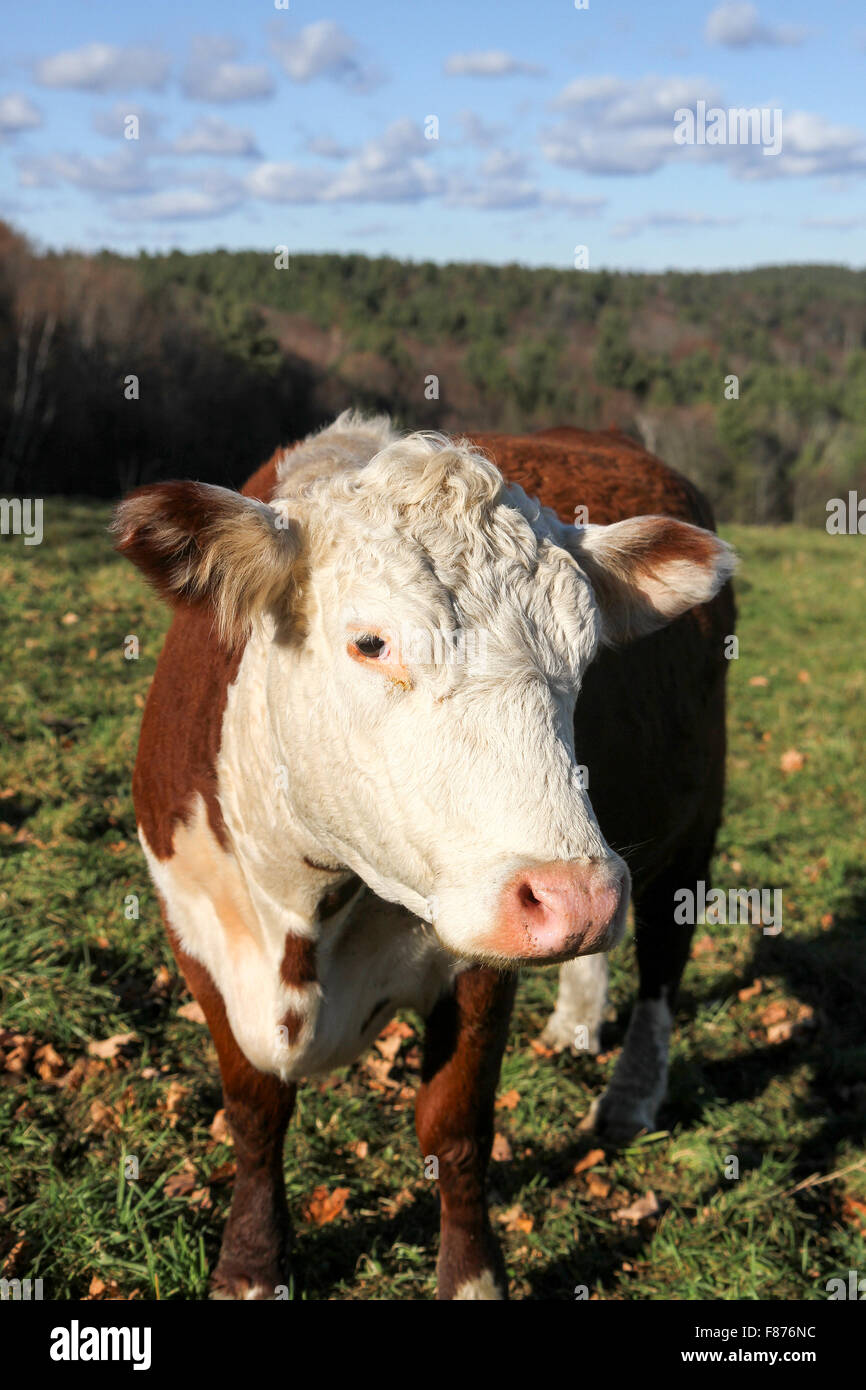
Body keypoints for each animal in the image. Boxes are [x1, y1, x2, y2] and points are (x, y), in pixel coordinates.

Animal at [113, 411, 739, 1301]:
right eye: (372, 642)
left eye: (586, 660)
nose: (576, 897)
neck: (298, 906)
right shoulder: (193, 924)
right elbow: (254, 1108)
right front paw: (251, 1267)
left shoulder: (479, 958)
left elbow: (456, 1125)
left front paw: (471, 1278)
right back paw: (577, 1021)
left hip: (692, 822)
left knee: (663, 960)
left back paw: (628, 1097)